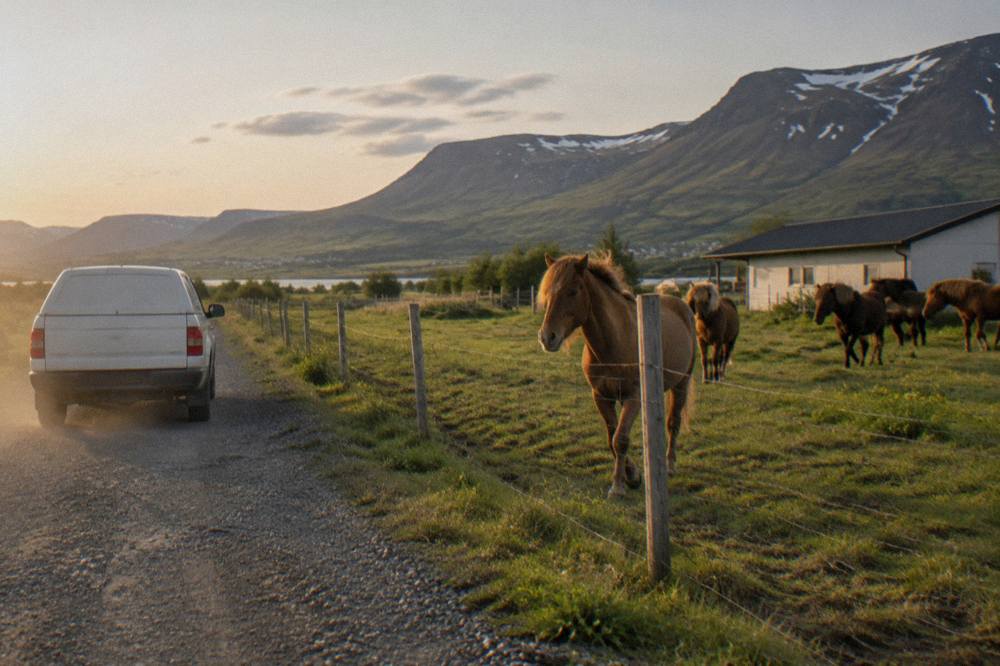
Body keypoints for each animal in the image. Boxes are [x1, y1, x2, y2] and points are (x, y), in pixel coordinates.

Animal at [538, 254, 696, 498]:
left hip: (682, 383)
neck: (614, 340)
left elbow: (620, 439)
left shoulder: (633, 397)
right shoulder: (601, 396)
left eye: (572, 291)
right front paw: (633, 476)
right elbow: (611, 437)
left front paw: (618, 486)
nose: (547, 337)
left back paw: (670, 465)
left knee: (673, 423)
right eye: (547, 293)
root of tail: (681, 306)